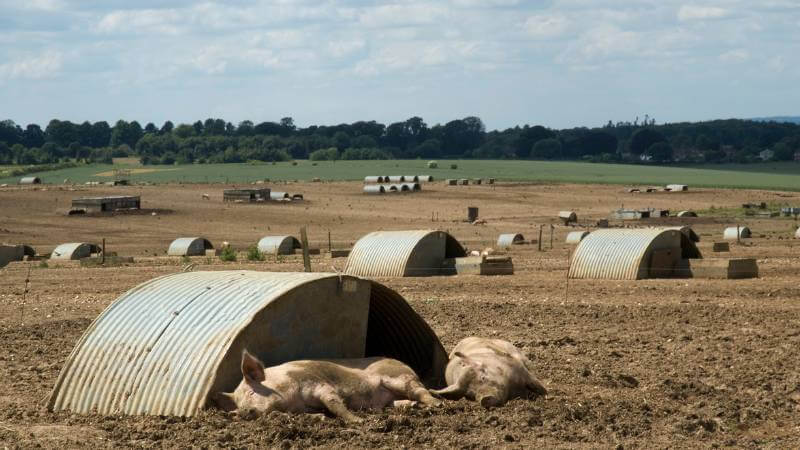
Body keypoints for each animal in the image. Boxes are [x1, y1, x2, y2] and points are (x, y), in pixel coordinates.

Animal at [209, 352, 440, 422]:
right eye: (237, 403)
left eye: (251, 391)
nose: (241, 412)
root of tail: (404, 364)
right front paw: (320, 417)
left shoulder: (318, 384)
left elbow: (333, 402)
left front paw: (357, 421)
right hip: (391, 396)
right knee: (401, 402)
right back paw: (413, 407)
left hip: (398, 378)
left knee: (419, 390)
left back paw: (436, 405)